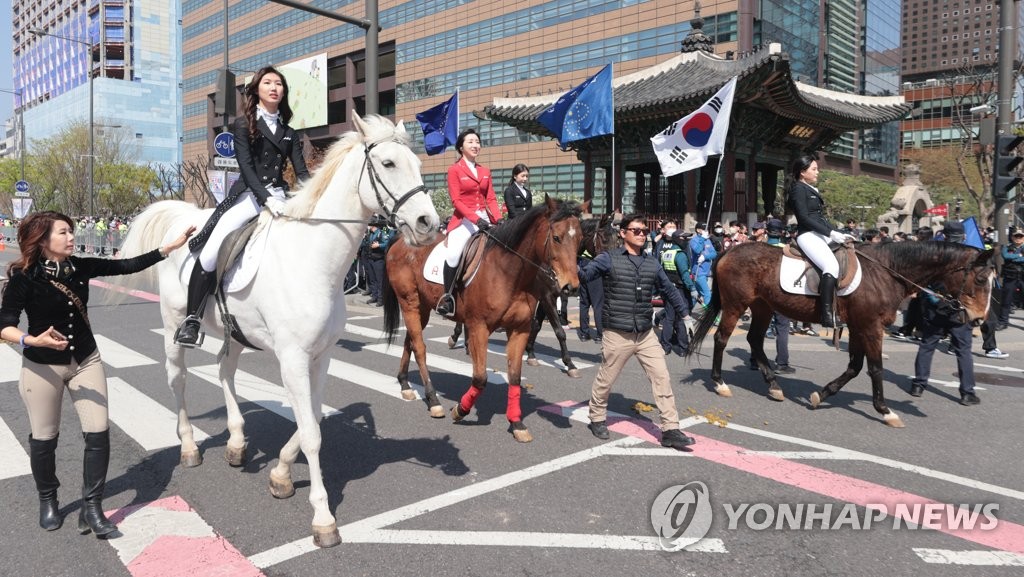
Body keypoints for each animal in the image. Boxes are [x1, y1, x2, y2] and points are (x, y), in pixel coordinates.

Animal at [118, 114, 440, 549]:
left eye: (419, 165)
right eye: (388, 164)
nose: (429, 224)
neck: (316, 259)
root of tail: (185, 219)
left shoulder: (321, 356)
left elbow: (313, 420)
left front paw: (281, 474)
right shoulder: (293, 358)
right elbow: (312, 434)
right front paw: (323, 517)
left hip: (236, 332)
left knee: (223, 369)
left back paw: (237, 443)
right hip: (172, 325)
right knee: (178, 377)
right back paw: (187, 446)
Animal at [380, 197, 589, 442]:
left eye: (581, 239)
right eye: (556, 238)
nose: (571, 287)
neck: (509, 272)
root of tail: (401, 240)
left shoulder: (519, 330)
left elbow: (515, 376)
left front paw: (516, 423)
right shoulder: (479, 327)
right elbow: (480, 377)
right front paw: (460, 409)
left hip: (421, 306)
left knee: (410, 341)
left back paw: (405, 384)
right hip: (409, 302)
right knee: (420, 348)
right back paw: (433, 400)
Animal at [684, 240, 995, 428]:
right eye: (981, 279)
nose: (978, 319)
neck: (886, 273)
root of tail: (729, 250)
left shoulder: (858, 327)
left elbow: (855, 367)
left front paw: (821, 395)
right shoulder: (871, 327)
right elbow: (876, 369)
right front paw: (886, 411)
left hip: (763, 306)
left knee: (754, 341)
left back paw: (774, 386)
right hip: (737, 305)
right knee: (721, 339)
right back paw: (720, 383)